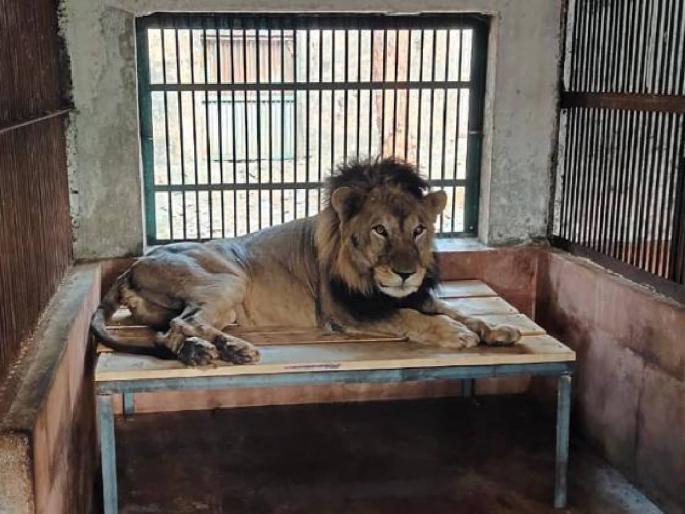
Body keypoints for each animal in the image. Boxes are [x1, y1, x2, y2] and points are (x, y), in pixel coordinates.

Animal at [91, 158, 521, 365]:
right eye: (380, 230)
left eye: (418, 230)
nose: (406, 273)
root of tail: (132, 267)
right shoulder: (345, 311)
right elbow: (412, 317)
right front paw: (456, 334)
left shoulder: (414, 295)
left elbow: (457, 310)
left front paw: (497, 329)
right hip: (228, 280)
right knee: (184, 323)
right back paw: (233, 350)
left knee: (169, 332)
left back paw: (207, 351)